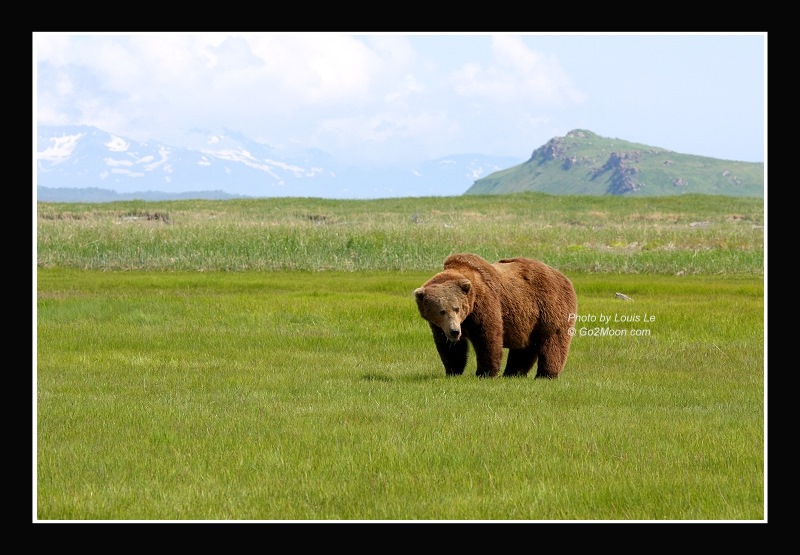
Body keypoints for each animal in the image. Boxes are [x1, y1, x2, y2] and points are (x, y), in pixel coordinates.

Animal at [414, 253, 577, 379]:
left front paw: (485, 372)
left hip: (549, 307)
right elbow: (449, 346)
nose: (455, 331)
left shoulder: (485, 304)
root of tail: (563, 276)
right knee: (526, 347)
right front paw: (453, 371)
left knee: (553, 341)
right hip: (528, 320)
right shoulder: (440, 325)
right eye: (441, 311)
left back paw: (546, 374)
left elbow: (487, 337)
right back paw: (513, 373)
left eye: (457, 308)